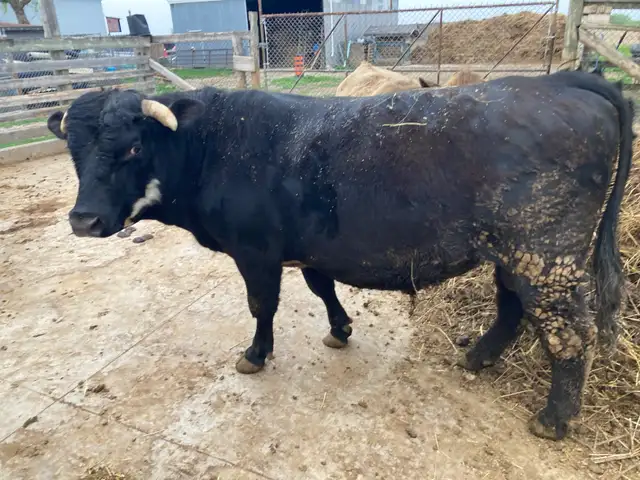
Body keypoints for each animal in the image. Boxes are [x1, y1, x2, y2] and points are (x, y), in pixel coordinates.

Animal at [47, 70, 633, 442]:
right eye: (73, 150)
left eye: (132, 147)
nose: (84, 221)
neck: (213, 144)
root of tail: (556, 80)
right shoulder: (309, 248)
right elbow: (320, 286)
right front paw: (340, 328)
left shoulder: (255, 252)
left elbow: (262, 305)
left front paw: (256, 354)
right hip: (517, 253)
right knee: (512, 305)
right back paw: (479, 357)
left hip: (546, 256)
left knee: (569, 333)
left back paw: (554, 420)